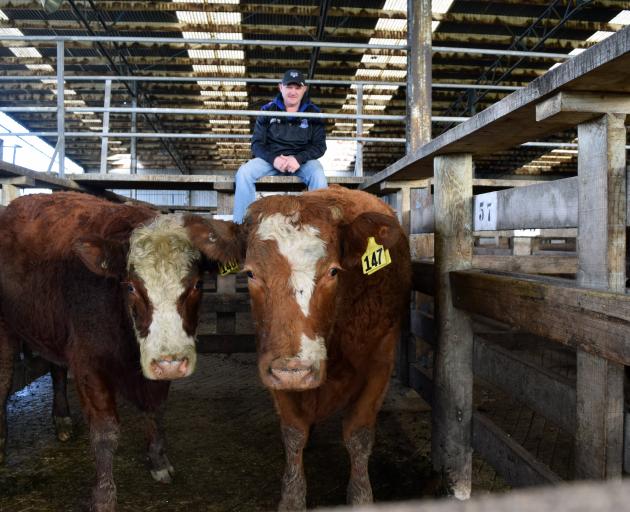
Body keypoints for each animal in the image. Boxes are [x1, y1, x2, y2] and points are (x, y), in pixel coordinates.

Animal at [0, 192, 241, 512]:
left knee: (56, 368)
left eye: (198, 284)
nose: (172, 364)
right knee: (4, 379)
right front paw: (103, 496)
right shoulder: (89, 365)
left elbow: (155, 410)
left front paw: (158, 461)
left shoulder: (160, 358)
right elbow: (105, 432)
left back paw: (62, 418)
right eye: (130, 286)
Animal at [241, 186, 410, 510]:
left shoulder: (380, 362)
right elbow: (294, 434)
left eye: (333, 271)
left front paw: (361, 496)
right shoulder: (272, 364)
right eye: (250, 274)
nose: (295, 370)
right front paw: (292, 498)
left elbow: (358, 435)